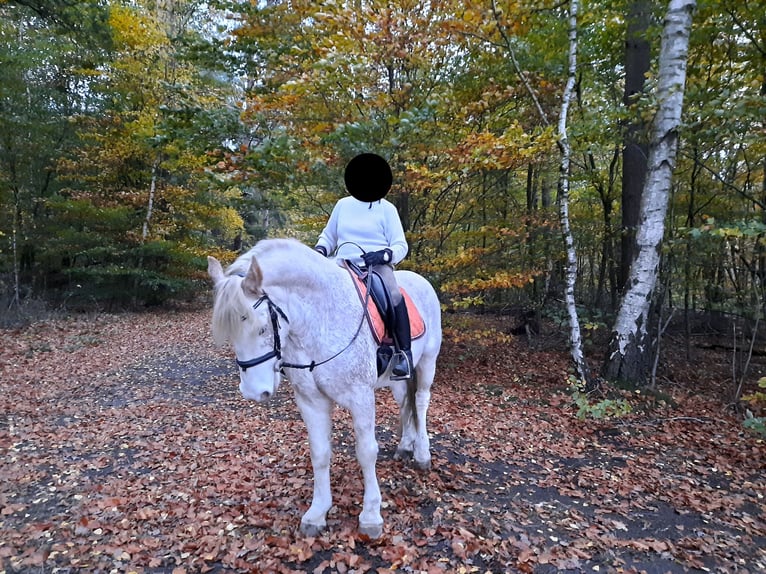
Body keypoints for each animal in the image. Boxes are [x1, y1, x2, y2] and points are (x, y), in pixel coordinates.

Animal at [207, 238, 444, 540]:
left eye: (262, 329)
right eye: (231, 334)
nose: (253, 392)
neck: (320, 318)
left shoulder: (361, 397)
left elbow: (366, 452)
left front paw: (370, 515)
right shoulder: (311, 401)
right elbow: (319, 454)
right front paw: (317, 513)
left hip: (427, 362)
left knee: (422, 401)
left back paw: (422, 454)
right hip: (397, 378)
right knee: (406, 404)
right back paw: (405, 446)